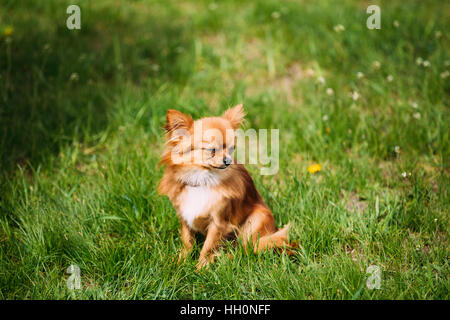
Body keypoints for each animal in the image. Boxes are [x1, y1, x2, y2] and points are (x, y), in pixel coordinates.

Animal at [158, 104, 296, 268]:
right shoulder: (184, 217)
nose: (228, 160)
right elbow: (187, 242)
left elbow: (207, 247)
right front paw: (181, 262)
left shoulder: (218, 223)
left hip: (257, 219)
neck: (202, 180)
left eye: (231, 149)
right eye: (211, 150)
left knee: (247, 246)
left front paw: (200, 268)